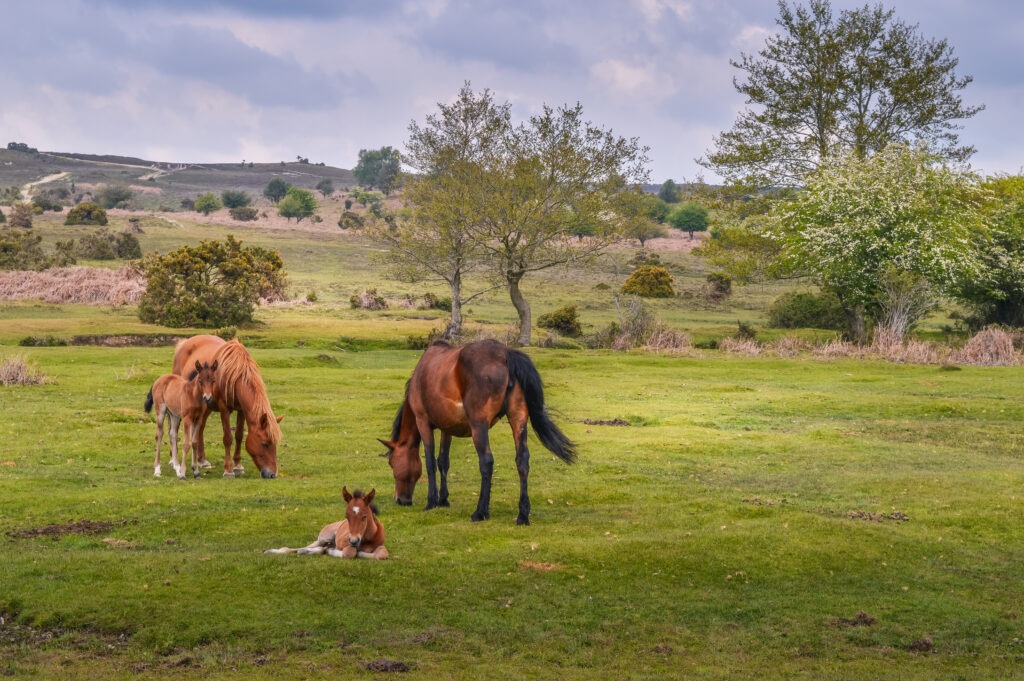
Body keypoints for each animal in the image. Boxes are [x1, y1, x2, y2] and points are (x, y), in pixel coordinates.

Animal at [171, 335, 283, 479]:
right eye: (265, 444)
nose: (272, 474)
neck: (235, 375)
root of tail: (185, 343)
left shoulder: (241, 410)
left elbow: (239, 435)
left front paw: (238, 466)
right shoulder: (224, 409)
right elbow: (228, 438)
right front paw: (228, 470)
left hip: (205, 407)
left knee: (200, 428)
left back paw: (202, 460)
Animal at [379, 339, 576, 525]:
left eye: (391, 463)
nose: (400, 500)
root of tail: (506, 354)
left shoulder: (423, 422)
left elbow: (430, 463)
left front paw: (431, 502)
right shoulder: (447, 428)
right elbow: (443, 461)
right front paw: (443, 499)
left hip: (479, 426)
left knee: (486, 462)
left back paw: (480, 512)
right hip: (518, 418)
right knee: (522, 460)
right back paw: (522, 515)